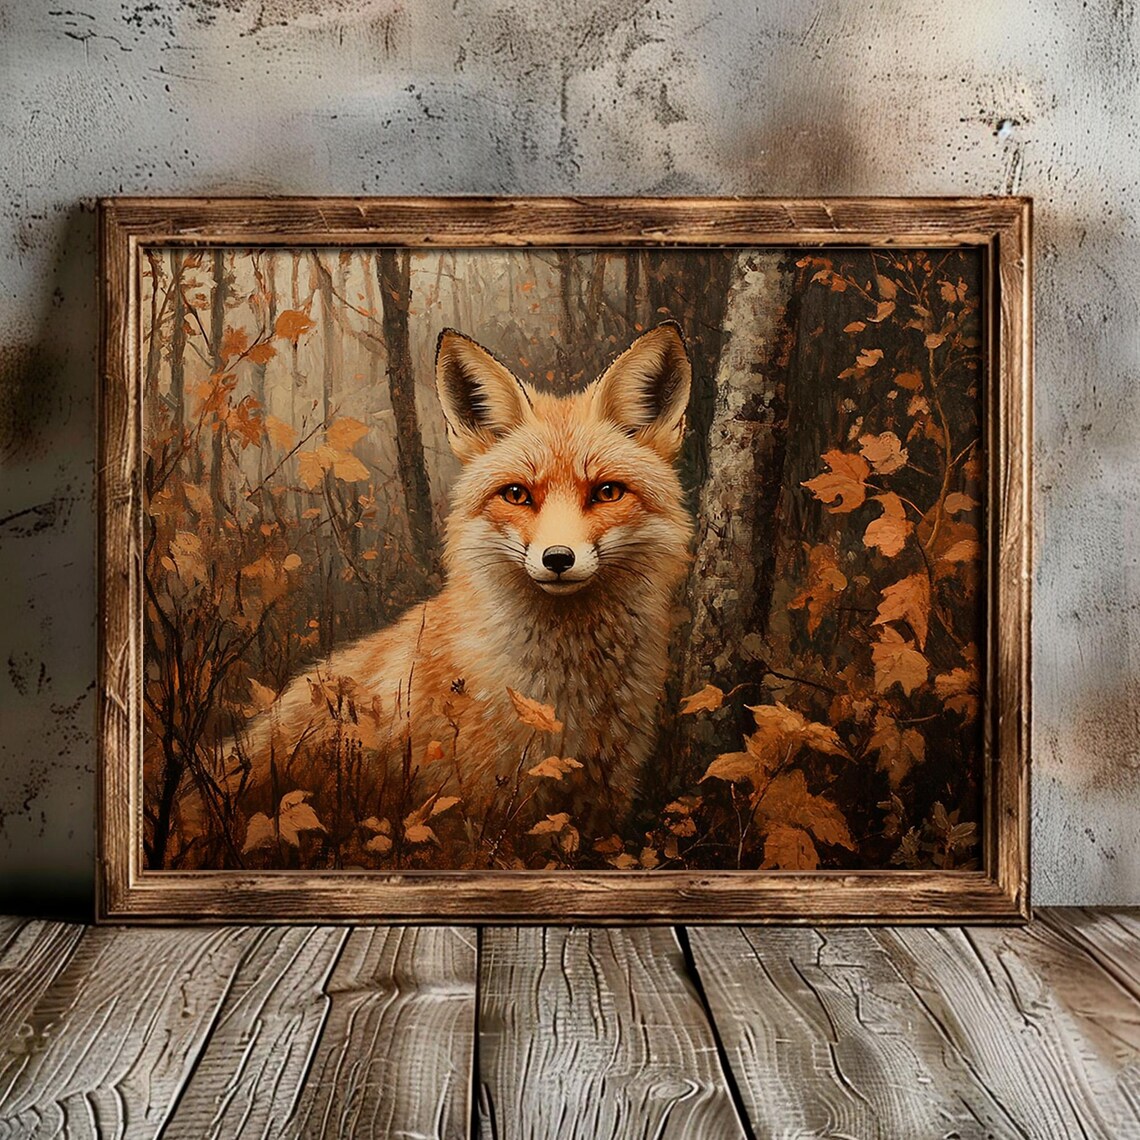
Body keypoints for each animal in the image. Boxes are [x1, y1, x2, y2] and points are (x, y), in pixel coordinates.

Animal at [187, 321, 694, 854]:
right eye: (517, 494)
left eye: (607, 492)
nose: (558, 559)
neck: (564, 700)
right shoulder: (472, 810)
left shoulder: (603, 799)